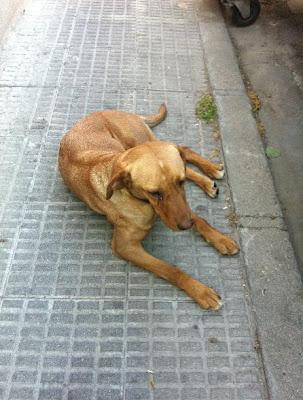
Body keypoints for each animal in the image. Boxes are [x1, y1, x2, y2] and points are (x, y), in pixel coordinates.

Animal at [58, 104, 240, 310]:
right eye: (154, 193)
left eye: (181, 182)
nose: (186, 226)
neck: (141, 201)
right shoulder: (125, 246)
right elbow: (170, 269)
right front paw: (200, 291)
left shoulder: (180, 208)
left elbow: (198, 218)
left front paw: (220, 238)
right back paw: (208, 180)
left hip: (138, 139)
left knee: (183, 150)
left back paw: (210, 172)